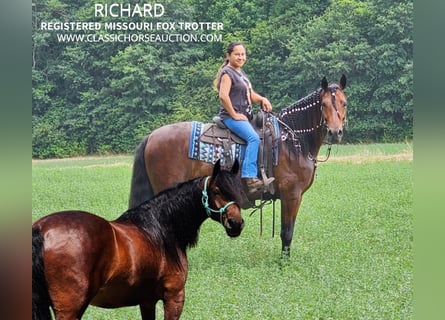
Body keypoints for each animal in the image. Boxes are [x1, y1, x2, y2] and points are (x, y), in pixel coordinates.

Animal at [32, 160, 243, 320]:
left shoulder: (147, 301)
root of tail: (41, 229)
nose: (236, 224)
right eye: (216, 190)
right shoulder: (174, 297)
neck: (161, 229)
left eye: (237, 190)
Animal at [128, 75, 346, 258]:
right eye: (324, 104)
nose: (336, 132)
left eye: (344, 103)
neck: (292, 141)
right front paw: (284, 264)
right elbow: (287, 232)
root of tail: (151, 136)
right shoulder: (291, 194)